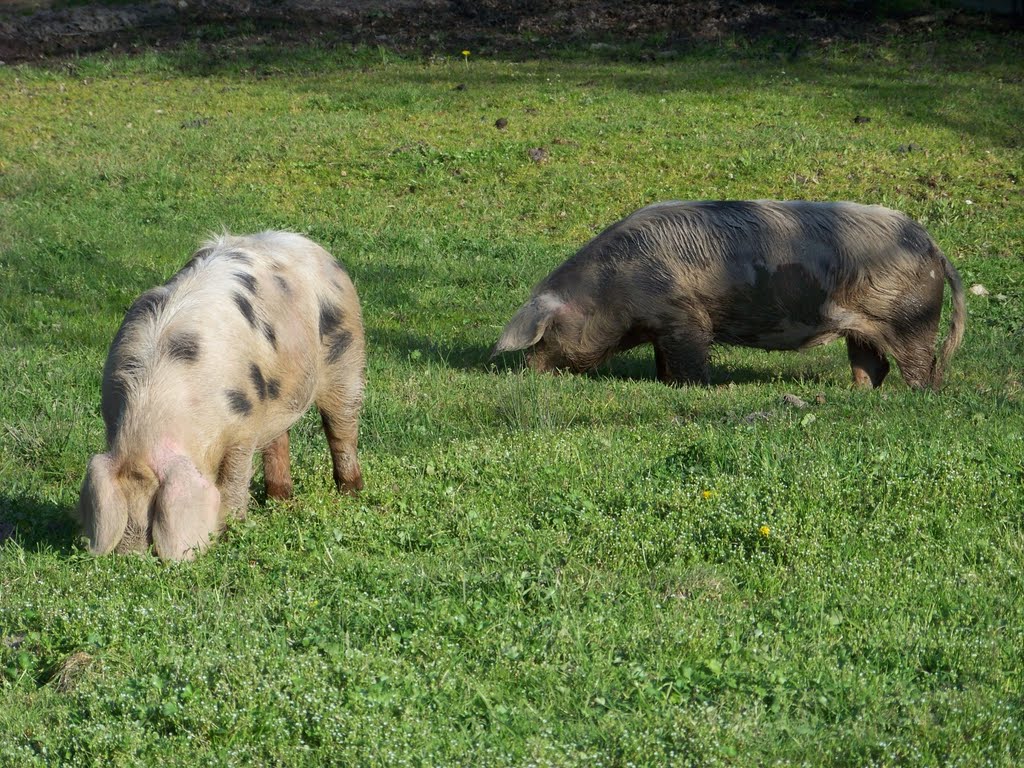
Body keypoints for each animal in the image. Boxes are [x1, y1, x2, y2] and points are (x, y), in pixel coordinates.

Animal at [80, 231, 368, 561]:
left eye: (154, 506)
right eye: (126, 505)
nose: (132, 555)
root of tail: (308, 244)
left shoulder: (243, 425)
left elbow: (234, 477)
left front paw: (232, 530)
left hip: (347, 352)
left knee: (342, 428)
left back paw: (351, 490)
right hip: (275, 396)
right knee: (278, 439)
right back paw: (280, 499)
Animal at [491, 199, 962, 391]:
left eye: (545, 334)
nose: (528, 371)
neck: (612, 288)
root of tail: (936, 248)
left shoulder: (683, 317)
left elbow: (691, 357)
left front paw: (694, 388)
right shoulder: (663, 326)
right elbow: (664, 360)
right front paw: (665, 382)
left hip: (912, 320)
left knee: (919, 363)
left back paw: (915, 393)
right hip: (863, 329)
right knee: (871, 363)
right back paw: (859, 394)